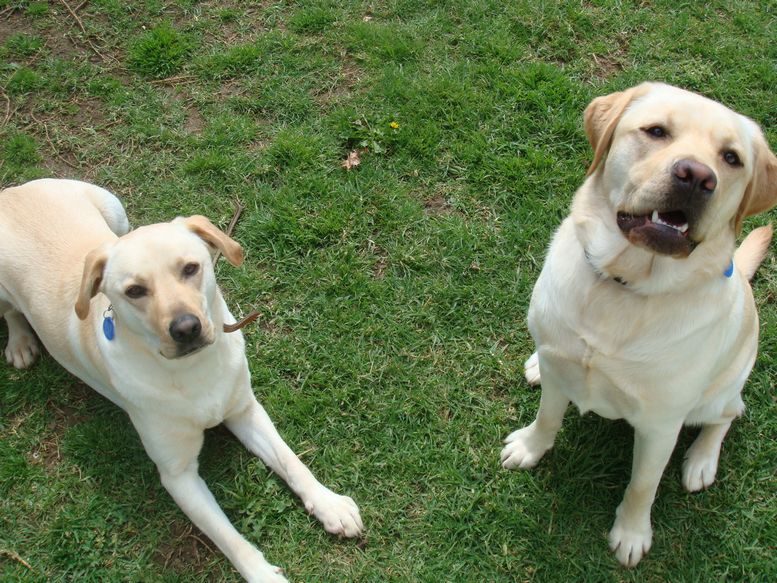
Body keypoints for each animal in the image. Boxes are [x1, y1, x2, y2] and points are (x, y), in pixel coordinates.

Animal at [0, 179, 363, 582]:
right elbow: (229, 538)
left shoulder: (245, 410)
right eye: (134, 291)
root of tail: (14, 190)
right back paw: (19, 342)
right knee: (10, 312)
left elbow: (291, 461)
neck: (193, 370)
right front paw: (263, 574)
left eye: (191, 268)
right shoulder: (178, 475)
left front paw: (329, 503)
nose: (186, 328)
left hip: (115, 210)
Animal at [500, 83, 777, 566]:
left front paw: (631, 534)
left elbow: (642, 486)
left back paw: (701, 461)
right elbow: (548, 418)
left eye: (731, 158)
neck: (623, 285)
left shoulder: (661, 425)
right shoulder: (562, 371)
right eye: (656, 131)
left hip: (717, 394)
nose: (696, 176)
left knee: (729, 414)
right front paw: (530, 448)